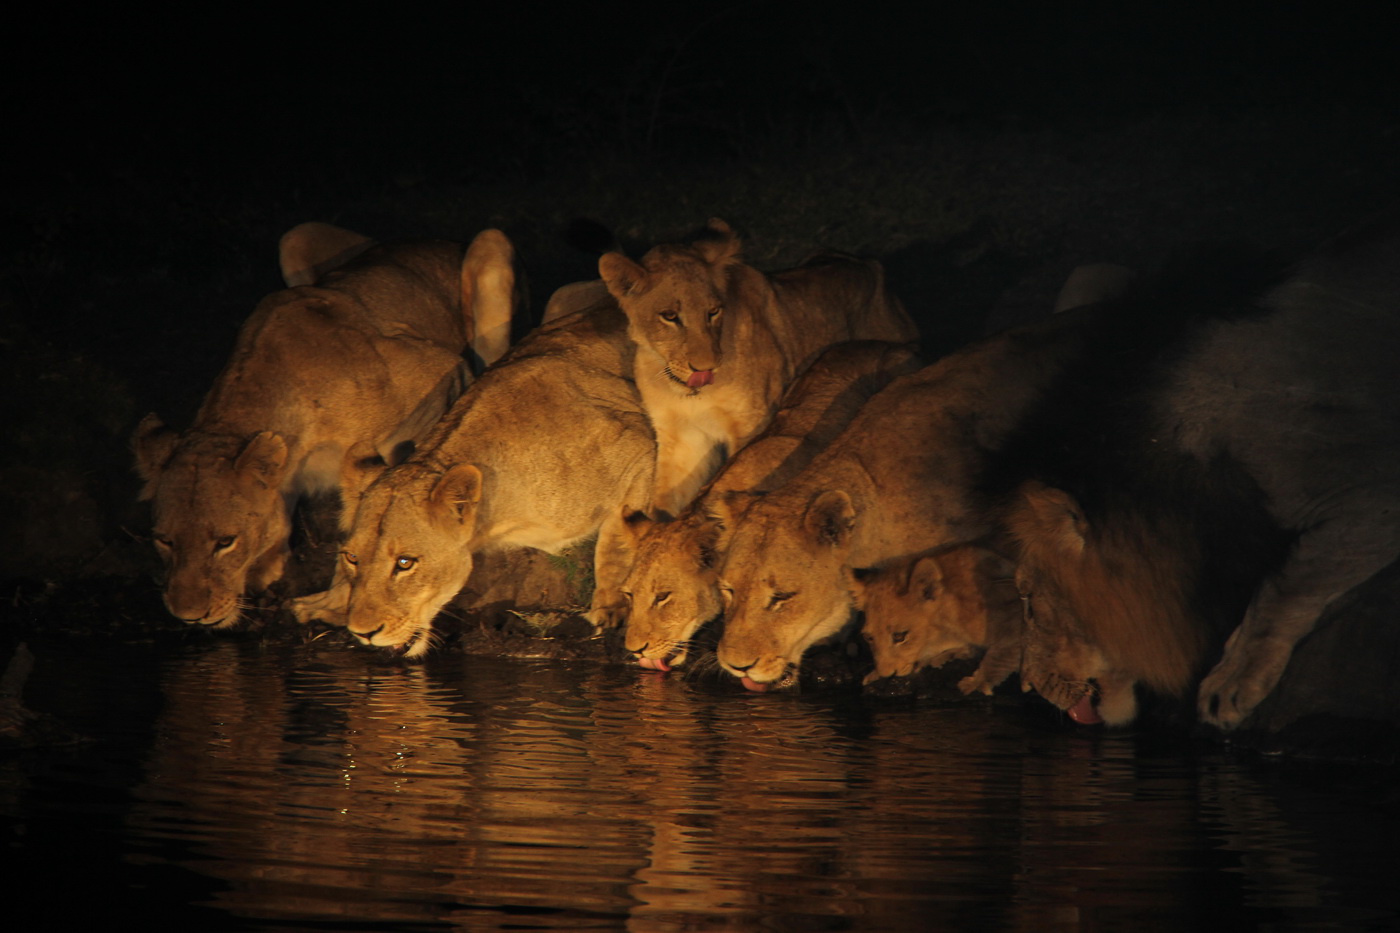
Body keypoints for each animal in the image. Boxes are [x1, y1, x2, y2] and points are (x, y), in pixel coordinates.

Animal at [132, 224, 520, 624]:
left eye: (225, 542)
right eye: (164, 540)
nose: (189, 616)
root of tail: (434, 239)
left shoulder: (440, 370)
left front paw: (335, 605)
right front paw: (271, 563)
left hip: (491, 244)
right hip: (295, 238)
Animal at [294, 294, 655, 650]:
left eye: (405, 563)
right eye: (352, 557)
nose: (363, 632)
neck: (497, 517)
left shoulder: (641, 449)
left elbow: (617, 540)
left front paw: (611, 605)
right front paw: (328, 602)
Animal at [599, 221, 918, 518]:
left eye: (713, 312)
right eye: (669, 316)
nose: (707, 367)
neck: (686, 391)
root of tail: (870, 264)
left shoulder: (751, 425)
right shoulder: (681, 437)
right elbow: (667, 496)